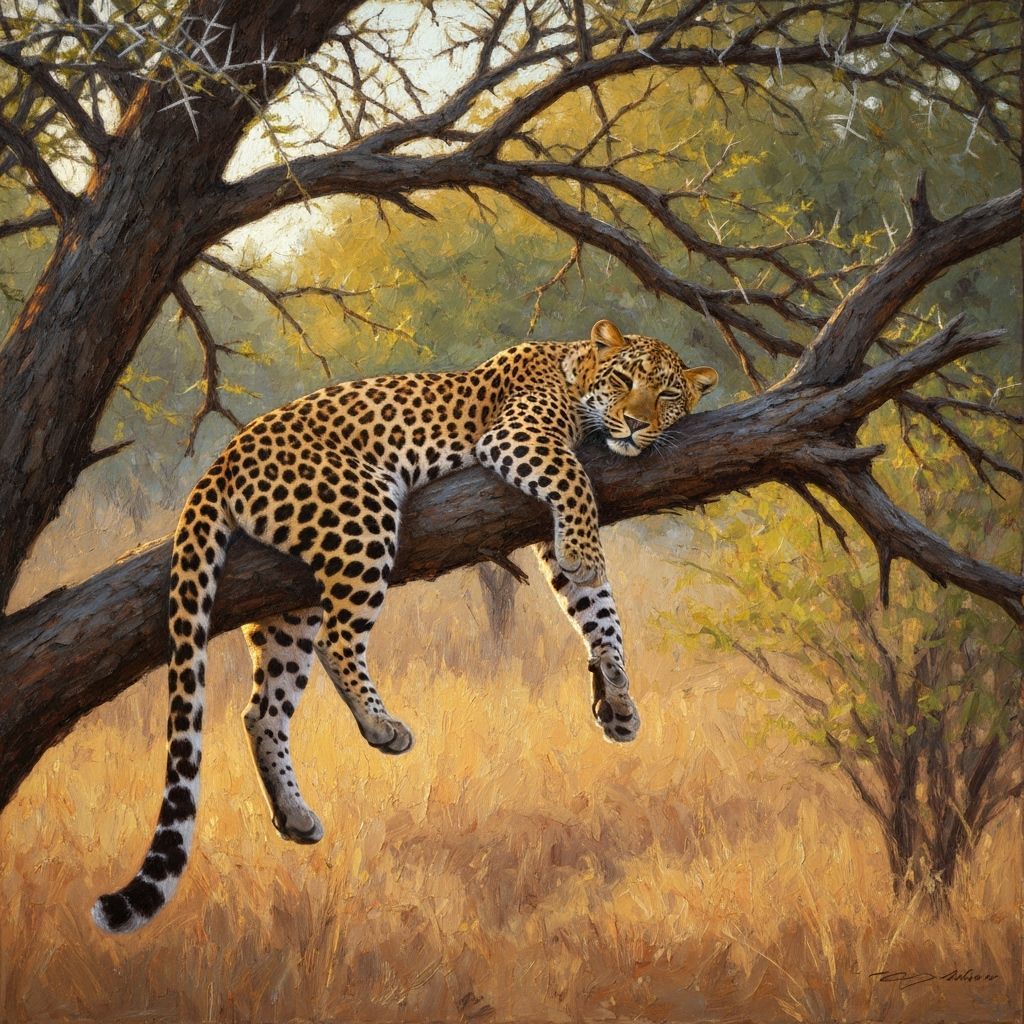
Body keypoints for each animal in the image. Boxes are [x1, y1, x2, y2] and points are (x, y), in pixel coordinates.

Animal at [91, 318, 717, 933]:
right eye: (623, 381)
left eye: (667, 395)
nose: (635, 424)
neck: (572, 366)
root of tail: (223, 456)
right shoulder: (518, 437)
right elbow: (575, 483)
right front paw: (588, 559)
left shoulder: (544, 526)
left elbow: (597, 610)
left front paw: (616, 694)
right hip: (361, 514)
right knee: (339, 639)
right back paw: (380, 725)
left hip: (288, 602)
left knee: (261, 709)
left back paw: (294, 815)